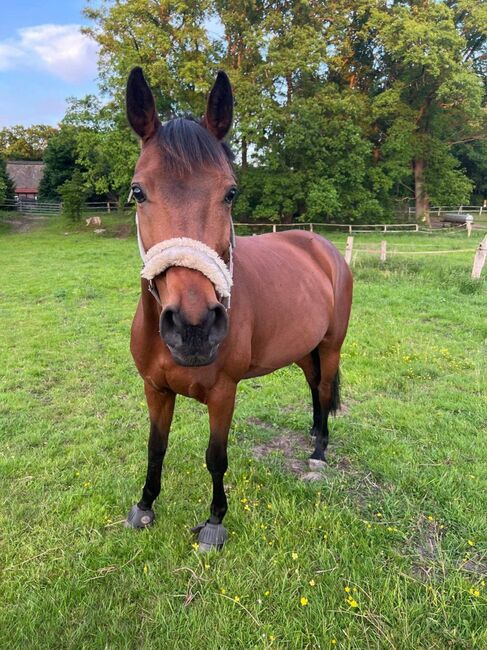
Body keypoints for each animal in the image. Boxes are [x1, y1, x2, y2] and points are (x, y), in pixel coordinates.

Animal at [126, 68, 352, 548]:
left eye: (230, 193)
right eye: (138, 191)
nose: (193, 326)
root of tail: (321, 245)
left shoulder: (223, 393)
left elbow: (216, 457)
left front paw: (214, 521)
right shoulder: (155, 389)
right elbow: (156, 447)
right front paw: (145, 505)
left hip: (331, 344)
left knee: (325, 388)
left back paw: (319, 451)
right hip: (303, 350)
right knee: (314, 387)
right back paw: (313, 431)